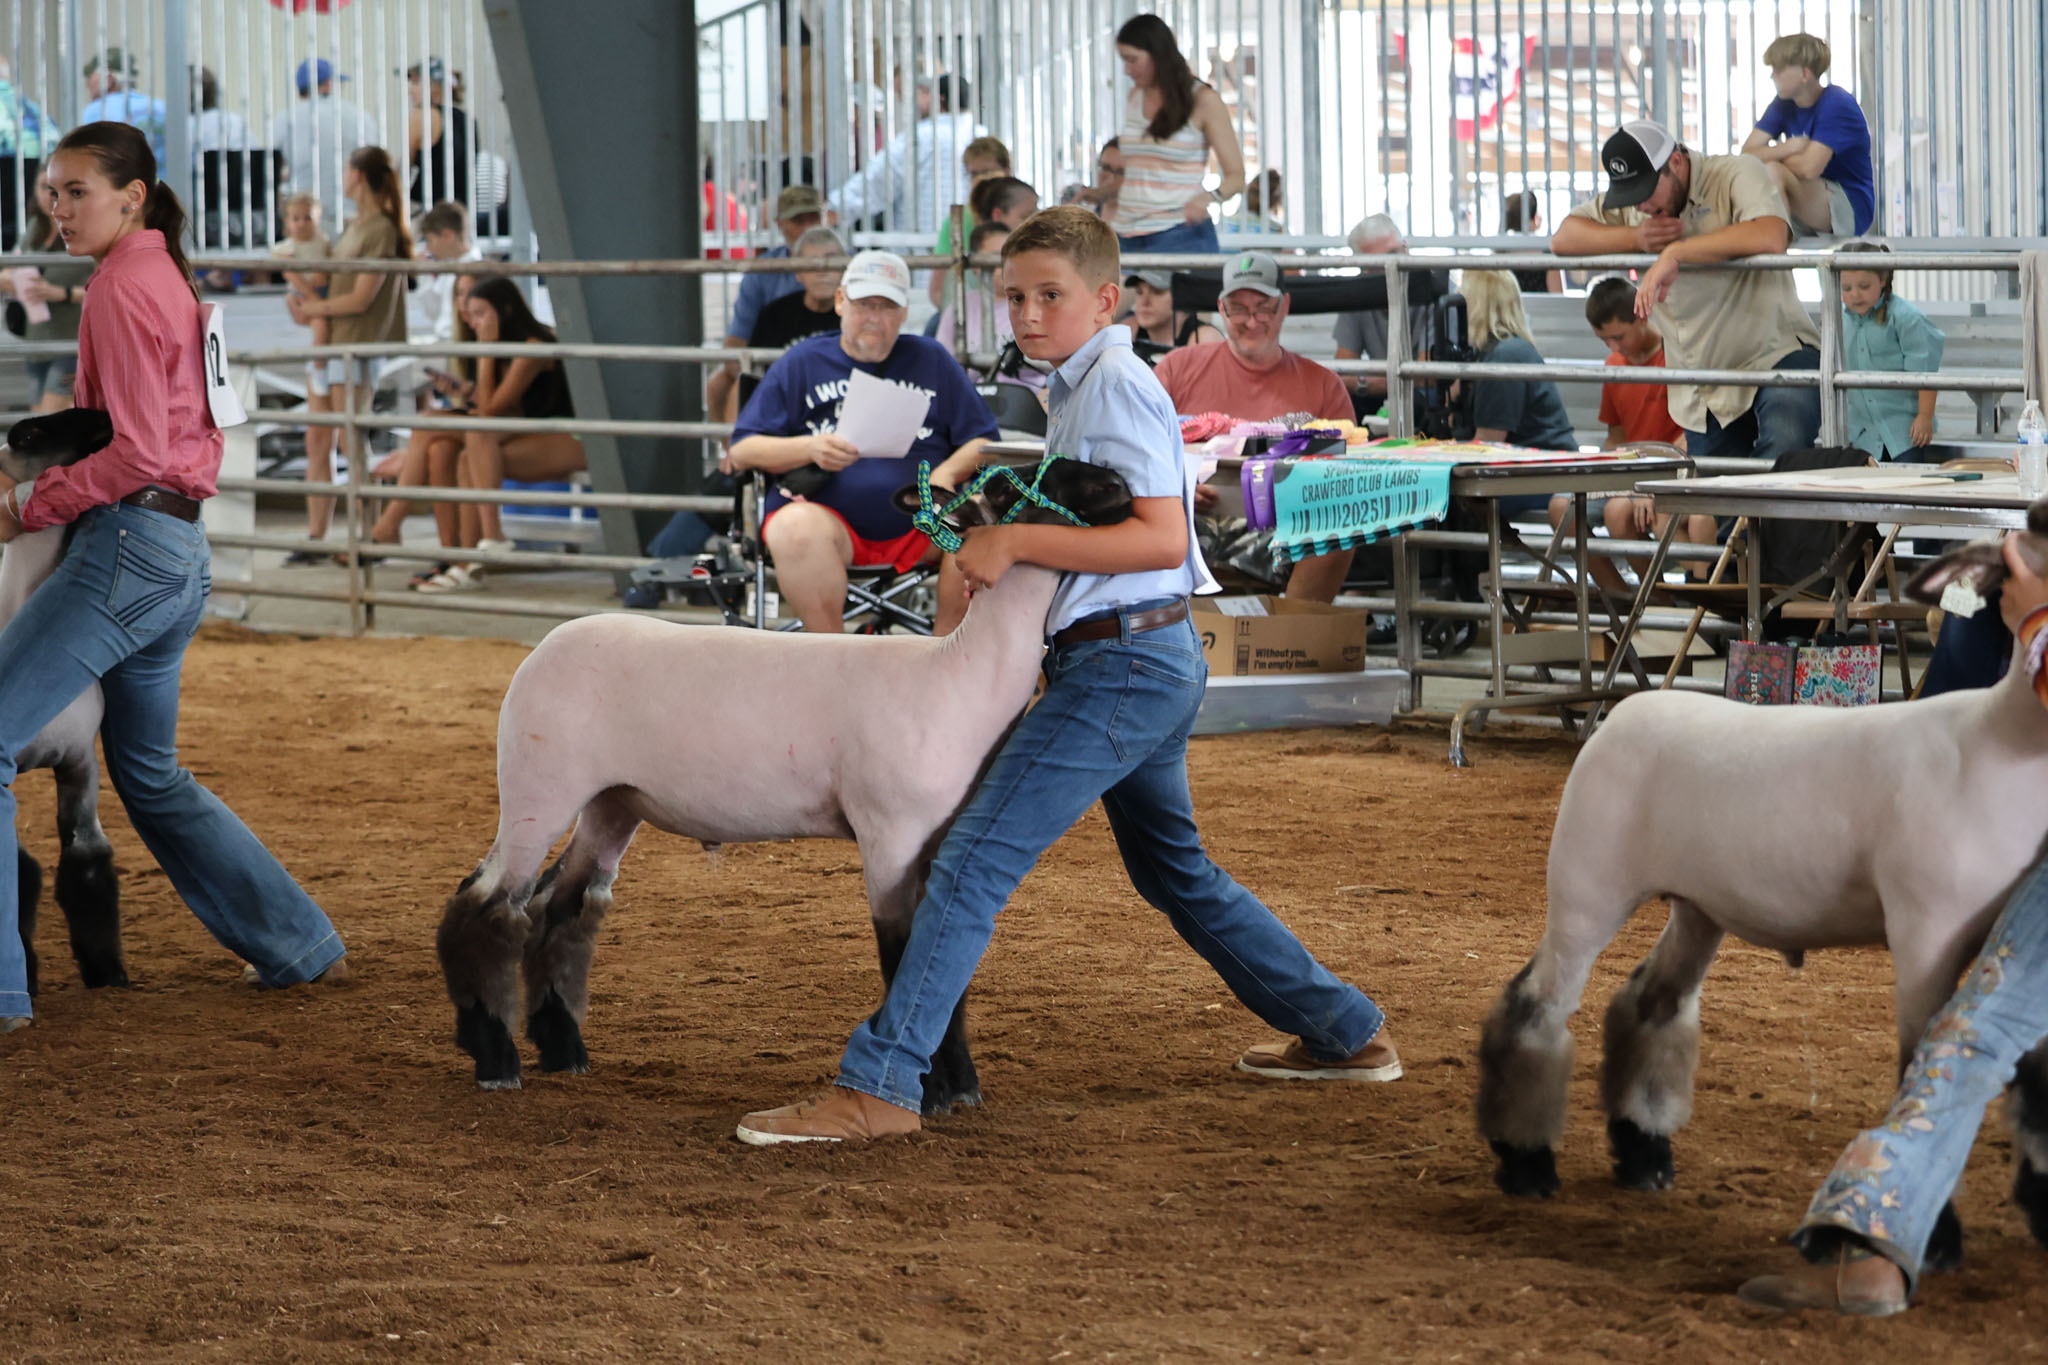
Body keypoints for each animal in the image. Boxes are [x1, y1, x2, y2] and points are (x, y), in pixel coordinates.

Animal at [436, 459, 1134, 1104]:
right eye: (1011, 485)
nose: (1123, 487)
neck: (957, 674)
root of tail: (543, 646)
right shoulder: (890, 833)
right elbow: (904, 951)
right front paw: (934, 1089)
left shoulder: (942, 835)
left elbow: (943, 951)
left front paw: (956, 1082)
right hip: (539, 787)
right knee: (486, 903)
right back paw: (494, 1056)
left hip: (612, 802)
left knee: (560, 909)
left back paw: (562, 1049)